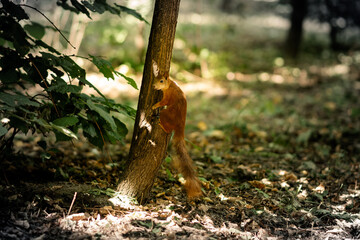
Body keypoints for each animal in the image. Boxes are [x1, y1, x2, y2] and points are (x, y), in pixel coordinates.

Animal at [151, 60, 202, 199]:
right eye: (156, 78)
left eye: (161, 80)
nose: (153, 86)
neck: (170, 85)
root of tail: (181, 127)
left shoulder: (167, 97)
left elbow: (163, 102)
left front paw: (154, 106)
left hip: (166, 114)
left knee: (168, 129)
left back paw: (161, 124)